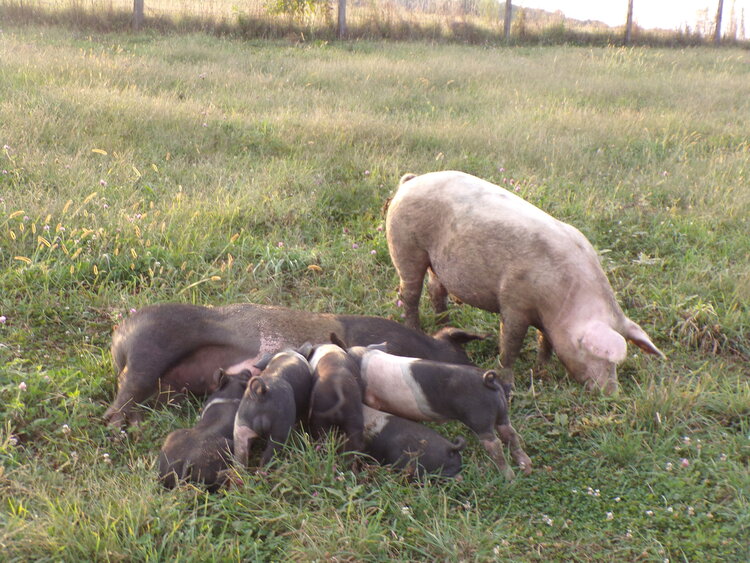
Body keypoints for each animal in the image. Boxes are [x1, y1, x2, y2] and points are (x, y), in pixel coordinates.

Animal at [103, 302, 484, 426]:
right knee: (122, 395)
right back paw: (119, 427)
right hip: (151, 348)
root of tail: (120, 335)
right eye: (465, 359)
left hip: (167, 385)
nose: (487, 377)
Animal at [384, 170, 668, 394]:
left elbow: (546, 341)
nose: (611, 394)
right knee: (409, 293)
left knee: (435, 290)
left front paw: (543, 369)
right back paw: (416, 328)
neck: (563, 300)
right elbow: (511, 344)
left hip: (437, 263)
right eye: (601, 357)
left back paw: (445, 324)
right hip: (405, 245)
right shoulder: (513, 303)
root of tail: (410, 182)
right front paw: (508, 383)